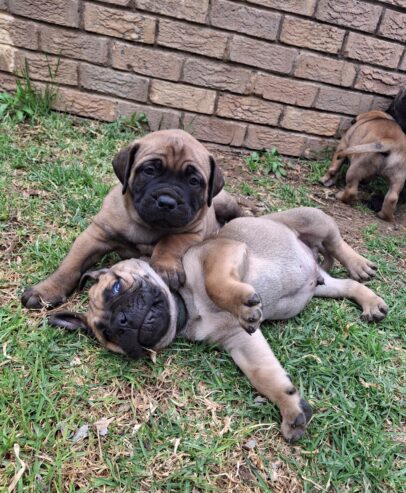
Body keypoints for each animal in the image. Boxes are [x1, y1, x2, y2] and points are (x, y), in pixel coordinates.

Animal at [20, 131, 239, 308]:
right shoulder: (95, 235)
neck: (147, 225)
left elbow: (170, 241)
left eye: (193, 181)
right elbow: (70, 265)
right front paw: (46, 291)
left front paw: (166, 268)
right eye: (149, 171)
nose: (167, 201)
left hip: (225, 204)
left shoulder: (193, 231)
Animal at [47, 208, 386, 442]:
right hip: (321, 286)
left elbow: (215, 283)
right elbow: (265, 375)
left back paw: (359, 264)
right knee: (344, 286)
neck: (189, 308)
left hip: (311, 218)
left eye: (116, 288)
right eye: (107, 334)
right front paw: (291, 408)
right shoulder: (241, 342)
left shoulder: (221, 253)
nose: (121, 322)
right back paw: (371, 303)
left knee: (337, 244)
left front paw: (244, 303)